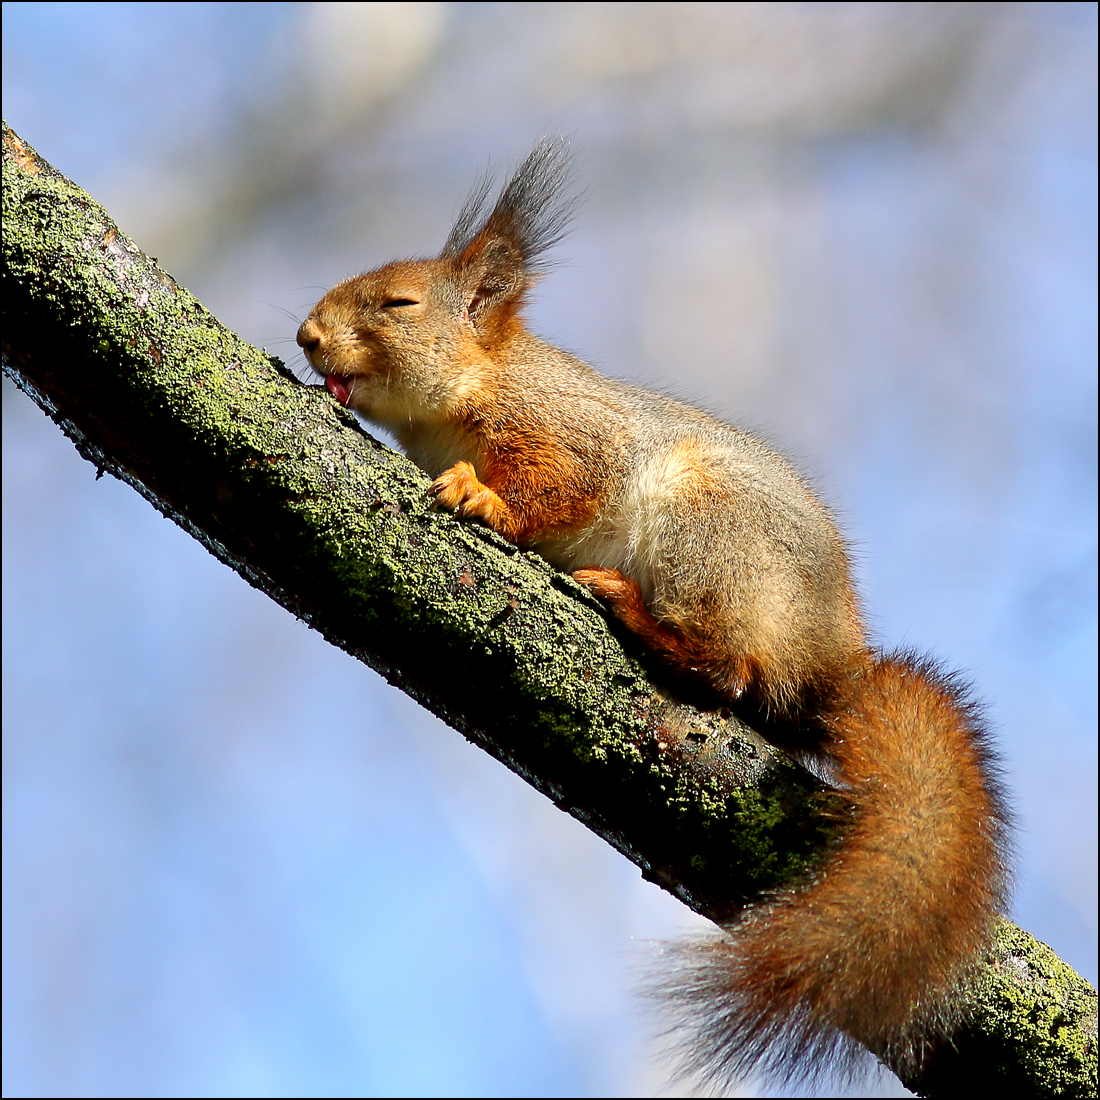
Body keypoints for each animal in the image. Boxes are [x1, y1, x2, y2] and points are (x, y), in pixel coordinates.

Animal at [296, 141, 1009, 1090]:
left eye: (400, 304)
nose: (306, 336)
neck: (476, 386)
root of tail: (834, 662)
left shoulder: (569, 433)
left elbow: (558, 485)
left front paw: (482, 496)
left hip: (705, 529)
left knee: (728, 667)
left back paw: (634, 611)